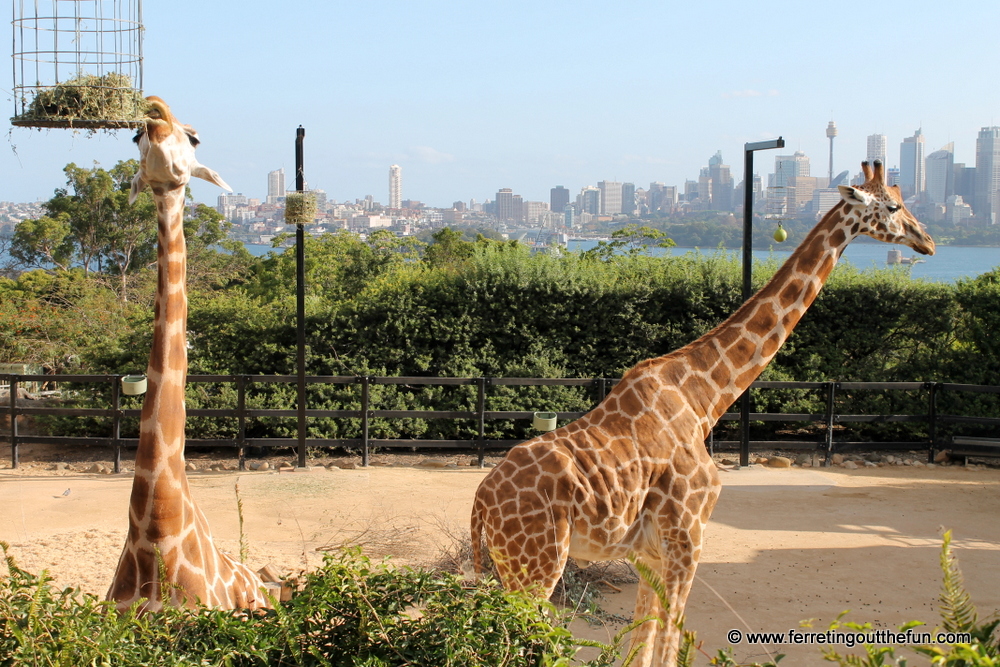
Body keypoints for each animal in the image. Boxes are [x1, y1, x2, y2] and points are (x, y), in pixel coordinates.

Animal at [472, 160, 932, 664]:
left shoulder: (652, 553)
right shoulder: (689, 537)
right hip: (537, 564)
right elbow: (670, 642)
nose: (927, 241)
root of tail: (480, 503)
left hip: (511, 565)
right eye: (894, 207)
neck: (706, 398)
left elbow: (643, 641)